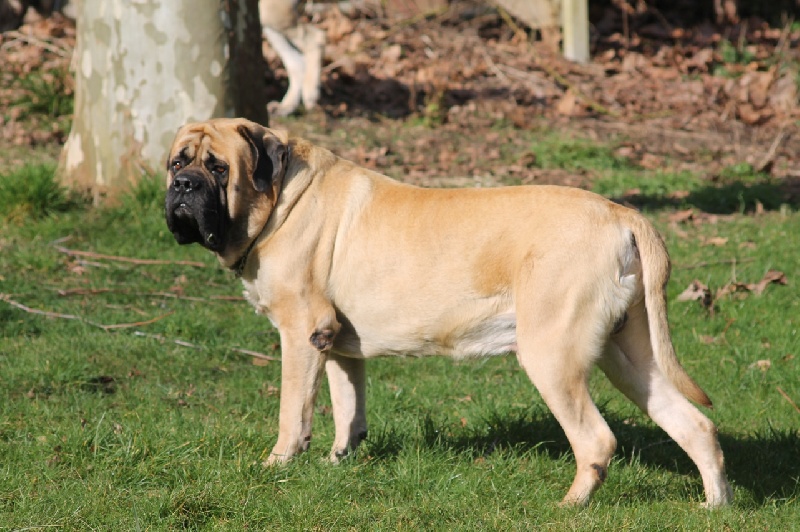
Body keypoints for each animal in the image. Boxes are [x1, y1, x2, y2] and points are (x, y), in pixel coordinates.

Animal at [166, 117, 736, 508]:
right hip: (629, 357)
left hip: (553, 355)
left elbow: (293, 410)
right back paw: (715, 504)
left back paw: (570, 505)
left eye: (218, 167)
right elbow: (349, 410)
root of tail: (622, 214)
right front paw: (337, 463)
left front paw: (279, 464)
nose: (183, 187)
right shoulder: (338, 345)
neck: (282, 197)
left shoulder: (301, 333)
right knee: (694, 425)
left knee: (597, 439)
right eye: (177, 162)